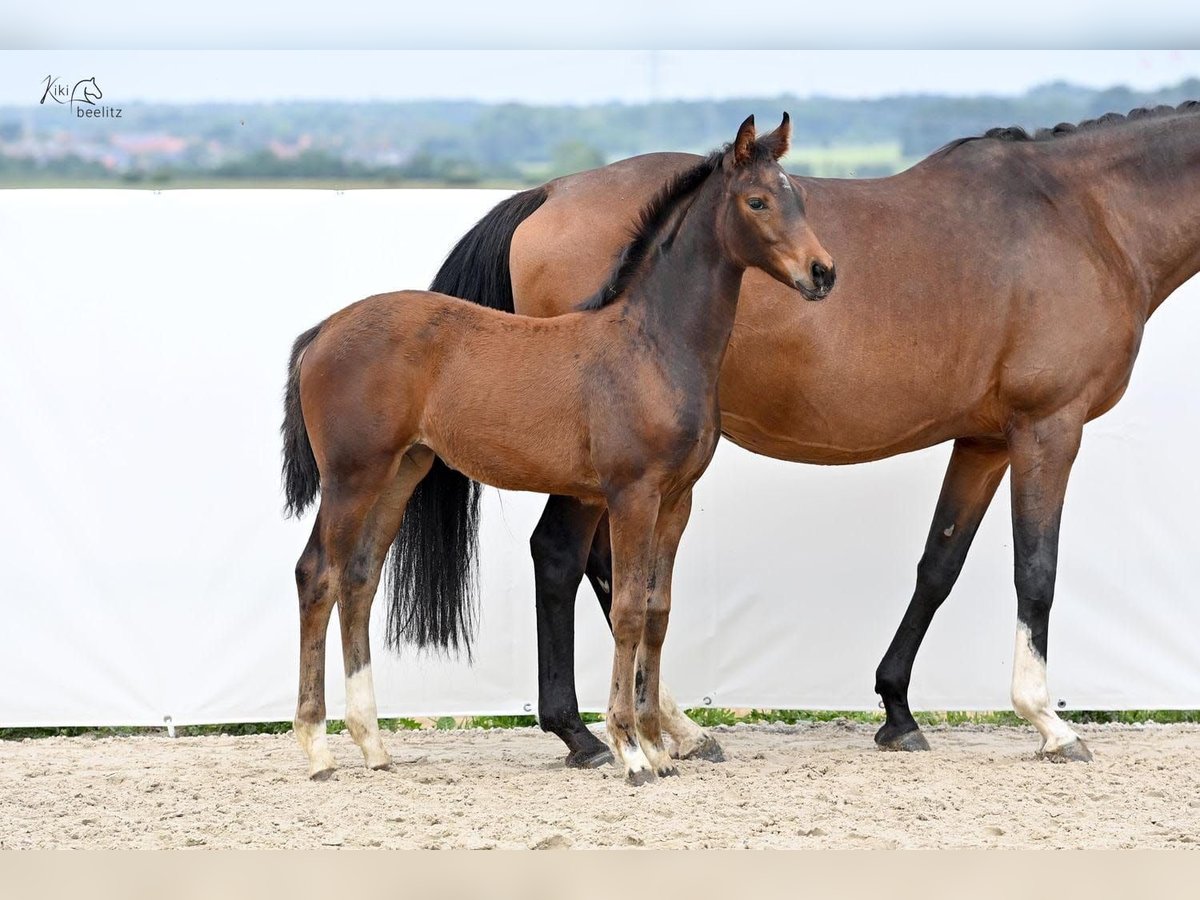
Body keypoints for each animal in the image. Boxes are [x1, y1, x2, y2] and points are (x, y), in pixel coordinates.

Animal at [279, 118, 835, 782]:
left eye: (799, 198)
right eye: (757, 201)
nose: (822, 273)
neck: (652, 344)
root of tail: (321, 333)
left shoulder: (676, 501)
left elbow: (658, 611)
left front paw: (657, 746)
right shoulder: (631, 494)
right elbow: (627, 609)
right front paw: (629, 749)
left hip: (399, 473)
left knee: (360, 579)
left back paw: (373, 744)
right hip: (351, 477)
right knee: (318, 575)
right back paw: (317, 749)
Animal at [415, 102, 1200, 772]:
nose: (822, 273)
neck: (1085, 215)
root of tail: (547, 194)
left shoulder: (985, 441)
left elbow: (938, 567)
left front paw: (897, 710)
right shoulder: (1048, 427)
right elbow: (1036, 571)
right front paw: (1048, 722)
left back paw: (669, 730)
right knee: (564, 558)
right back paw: (590, 735)